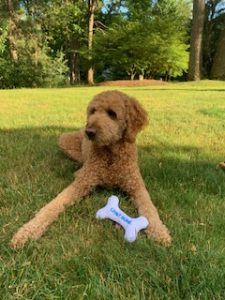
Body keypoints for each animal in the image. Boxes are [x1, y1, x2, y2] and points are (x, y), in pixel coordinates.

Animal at [10, 89, 171, 248]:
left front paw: (159, 232)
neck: (110, 154)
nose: (90, 132)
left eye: (112, 113)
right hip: (64, 141)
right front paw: (28, 231)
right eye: (93, 111)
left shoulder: (136, 186)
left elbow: (149, 208)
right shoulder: (82, 183)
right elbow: (53, 204)